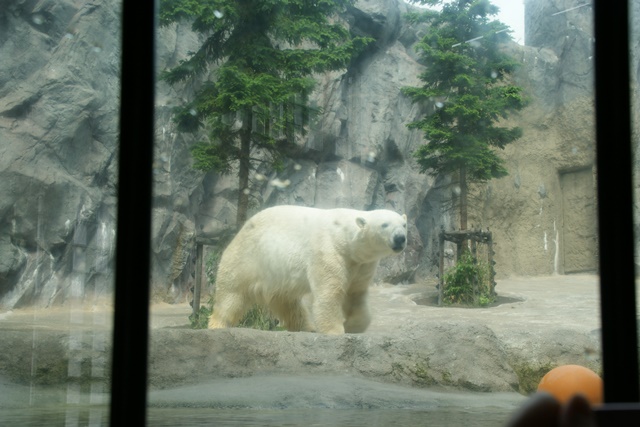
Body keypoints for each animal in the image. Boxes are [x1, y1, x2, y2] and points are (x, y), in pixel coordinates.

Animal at [208, 206, 408, 336]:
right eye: (384, 224)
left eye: (404, 225)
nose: (400, 238)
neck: (344, 236)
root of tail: (241, 229)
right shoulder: (328, 250)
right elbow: (330, 293)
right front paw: (335, 330)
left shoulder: (361, 263)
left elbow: (356, 294)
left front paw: (353, 326)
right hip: (247, 259)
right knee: (231, 295)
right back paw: (217, 324)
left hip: (277, 277)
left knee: (289, 303)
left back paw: (307, 327)